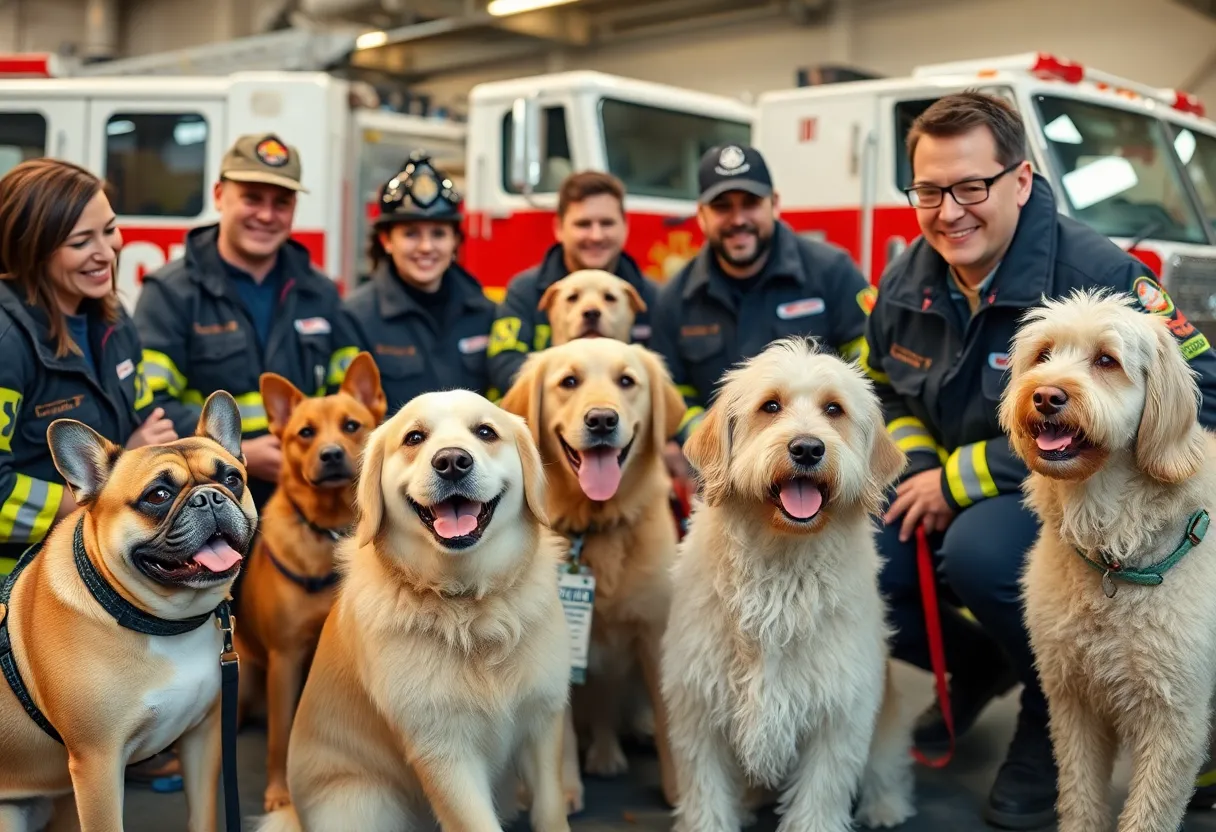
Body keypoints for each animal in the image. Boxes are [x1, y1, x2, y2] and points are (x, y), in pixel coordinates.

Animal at [0, 394, 252, 832]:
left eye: (232, 479)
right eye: (158, 495)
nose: (210, 497)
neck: (165, 622)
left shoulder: (202, 739)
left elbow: (202, 813)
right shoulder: (98, 765)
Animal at [252, 389, 573, 832]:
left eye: (486, 432)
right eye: (414, 438)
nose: (452, 461)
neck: (467, 604)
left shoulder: (543, 725)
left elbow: (550, 809)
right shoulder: (441, 750)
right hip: (362, 803)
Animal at [997, 289, 1216, 832]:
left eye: (1105, 361)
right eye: (1043, 355)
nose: (1046, 396)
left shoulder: (1175, 721)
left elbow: (1150, 814)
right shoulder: (1074, 703)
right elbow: (1080, 795)